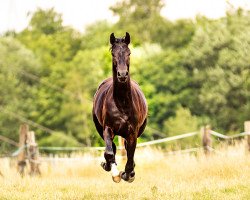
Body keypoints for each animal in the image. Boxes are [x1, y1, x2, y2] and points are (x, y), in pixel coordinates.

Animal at [92, 32, 147, 183]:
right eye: (113, 53)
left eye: (129, 53)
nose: (122, 75)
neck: (122, 103)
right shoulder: (107, 128)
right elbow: (109, 152)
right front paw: (115, 173)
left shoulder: (133, 132)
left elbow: (130, 156)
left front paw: (127, 174)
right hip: (100, 127)